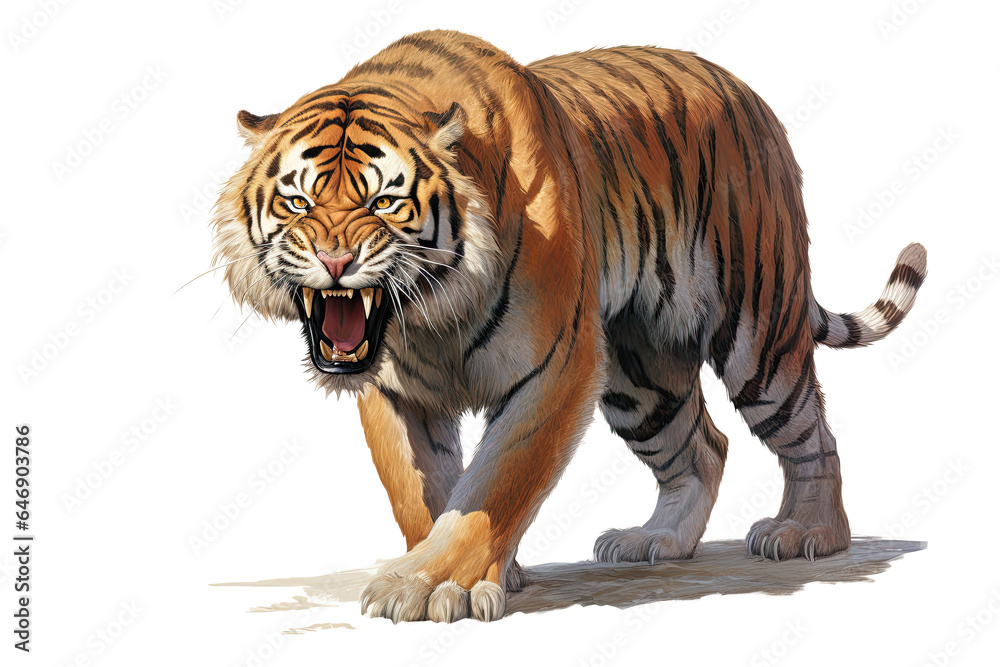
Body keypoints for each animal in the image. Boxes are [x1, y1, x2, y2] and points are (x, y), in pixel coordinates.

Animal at [211, 29, 927, 623]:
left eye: (385, 201)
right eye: (297, 200)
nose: (335, 261)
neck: (430, 315)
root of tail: (748, 96)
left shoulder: (555, 366)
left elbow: (495, 483)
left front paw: (432, 585)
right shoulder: (392, 388)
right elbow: (419, 491)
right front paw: (464, 568)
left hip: (757, 331)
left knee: (810, 433)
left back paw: (807, 533)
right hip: (641, 379)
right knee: (704, 446)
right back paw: (656, 540)